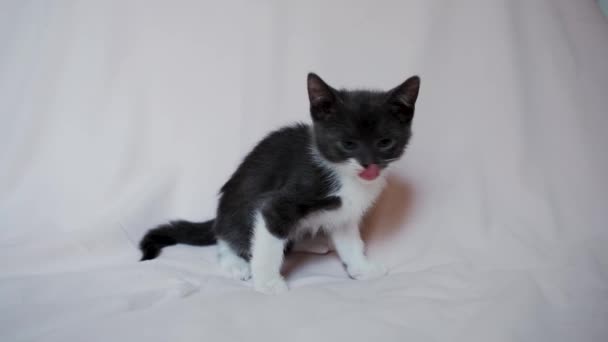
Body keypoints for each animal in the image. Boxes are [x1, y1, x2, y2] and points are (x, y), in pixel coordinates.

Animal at [140, 73, 420, 294]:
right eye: (348, 144)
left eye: (385, 143)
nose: (368, 165)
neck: (342, 174)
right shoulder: (278, 203)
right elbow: (268, 242)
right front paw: (267, 284)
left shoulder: (344, 212)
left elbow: (351, 241)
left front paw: (362, 268)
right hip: (236, 208)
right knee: (227, 235)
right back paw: (235, 263)